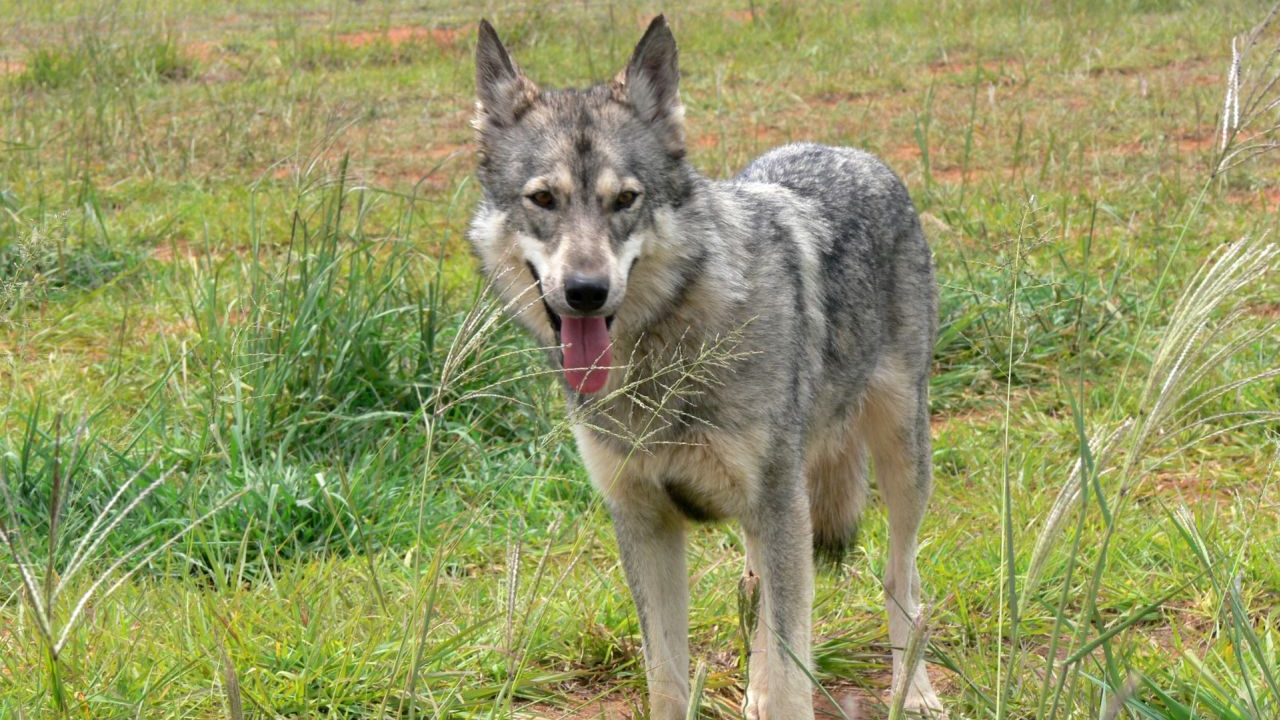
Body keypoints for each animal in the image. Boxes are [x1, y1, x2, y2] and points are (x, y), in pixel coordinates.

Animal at [468, 15, 945, 720]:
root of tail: (851, 152)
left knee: (899, 579)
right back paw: (754, 690)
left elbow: (793, 675)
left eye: (626, 200)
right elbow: (668, 678)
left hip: (898, 463)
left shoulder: (779, 507)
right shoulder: (644, 520)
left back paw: (913, 691)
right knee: (755, 594)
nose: (585, 291)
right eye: (544, 199)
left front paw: (787, 692)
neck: (661, 359)